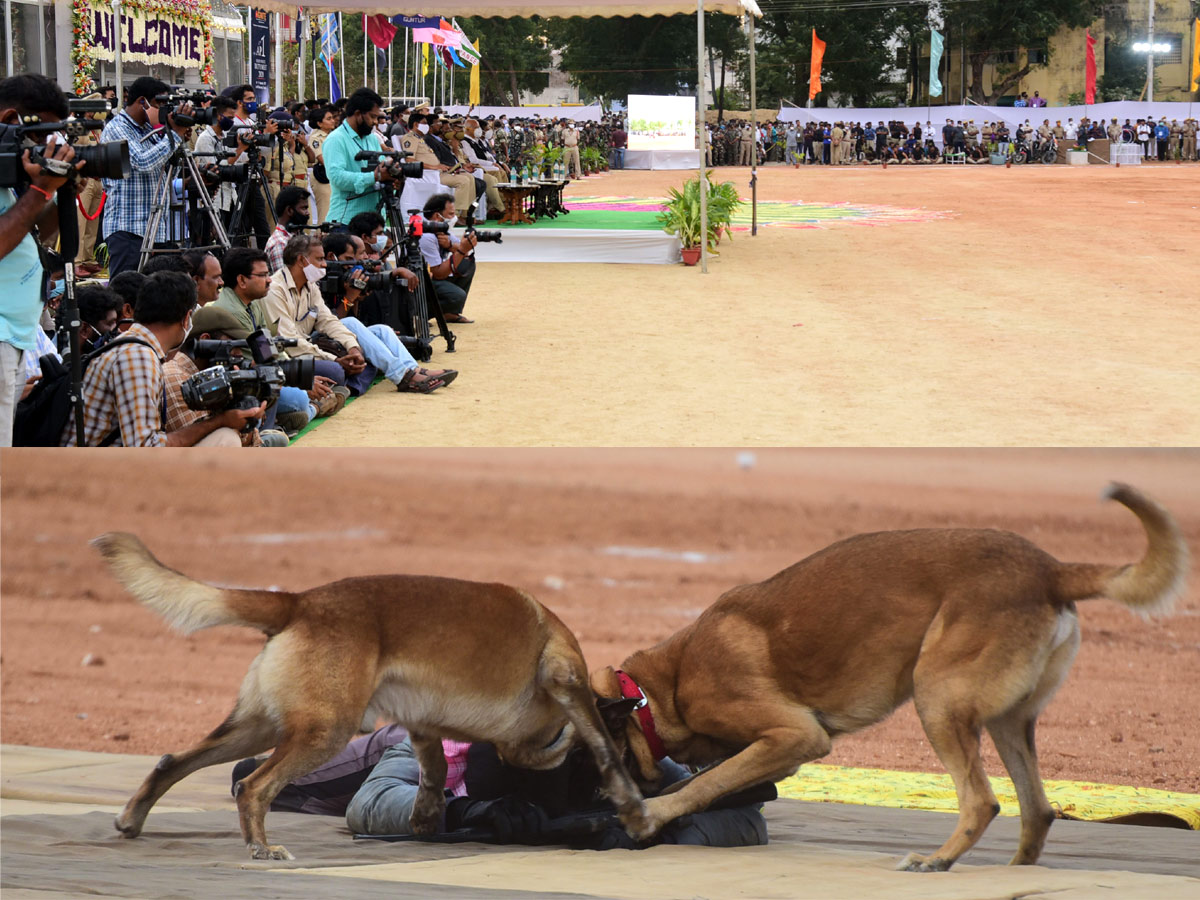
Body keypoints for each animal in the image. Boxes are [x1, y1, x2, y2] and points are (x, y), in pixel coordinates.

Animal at [94, 532, 652, 864]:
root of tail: (300, 602)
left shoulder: (425, 723)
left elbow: (434, 769)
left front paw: (426, 818)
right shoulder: (564, 678)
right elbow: (595, 744)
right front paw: (632, 809)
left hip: (259, 727)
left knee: (173, 760)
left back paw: (132, 819)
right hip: (324, 732)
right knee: (253, 787)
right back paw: (262, 847)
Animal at [590, 487, 1180, 873]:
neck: (659, 688)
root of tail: (1051, 570)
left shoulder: (796, 736)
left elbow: (703, 783)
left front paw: (648, 815)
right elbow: (708, 780)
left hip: (937, 699)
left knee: (982, 801)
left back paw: (936, 861)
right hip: (1008, 721)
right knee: (1036, 810)